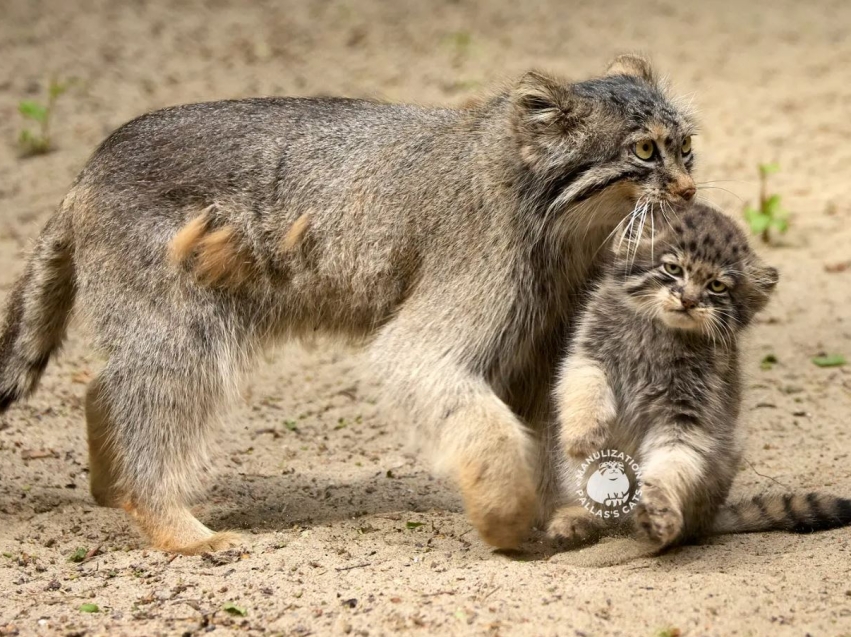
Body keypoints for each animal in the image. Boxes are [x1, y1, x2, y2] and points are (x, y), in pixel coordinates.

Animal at [548, 202, 848, 548]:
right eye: (672, 269)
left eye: (717, 286)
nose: (689, 300)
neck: (659, 334)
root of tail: (709, 518)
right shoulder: (588, 353)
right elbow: (585, 386)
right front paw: (583, 435)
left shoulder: (686, 415)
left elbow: (670, 465)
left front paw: (659, 511)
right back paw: (576, 519)